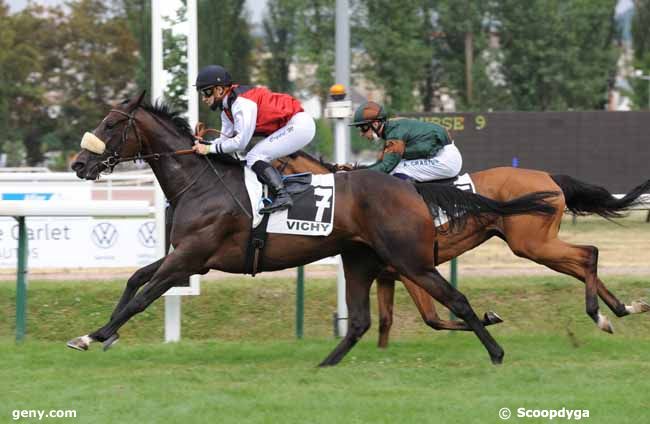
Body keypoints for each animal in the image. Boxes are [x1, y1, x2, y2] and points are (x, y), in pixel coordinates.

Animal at [67, 92, 556, 364]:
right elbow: (135, 279)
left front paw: (97, 334)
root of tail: (411, 189)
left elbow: (144, 297)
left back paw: (496, 352)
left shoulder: (190, 257)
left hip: (409, 261)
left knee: (455, 299)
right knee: (361, 320)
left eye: (110, 123)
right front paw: (97, 335)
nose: (78, 164)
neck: (200, 182)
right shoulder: (187, 257)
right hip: (363, 259)